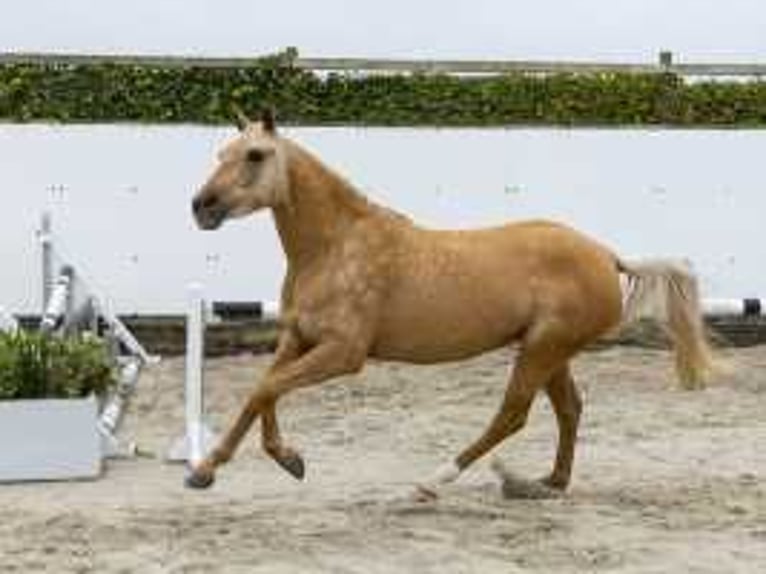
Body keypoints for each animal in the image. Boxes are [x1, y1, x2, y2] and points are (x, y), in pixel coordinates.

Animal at [188, 110, 712, 498]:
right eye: (221, 153)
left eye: (256, 155)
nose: (201, 206)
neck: (336, 247)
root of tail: (607, 254)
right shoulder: (298, 337)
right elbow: (263, 390)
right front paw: (223, 467)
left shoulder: (344, 353)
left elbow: (266, 388)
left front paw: (262, 461)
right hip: (550, 350)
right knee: (570, 409)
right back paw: (547, 483)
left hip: (542, 348)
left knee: (513, 413)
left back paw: (435, 480)